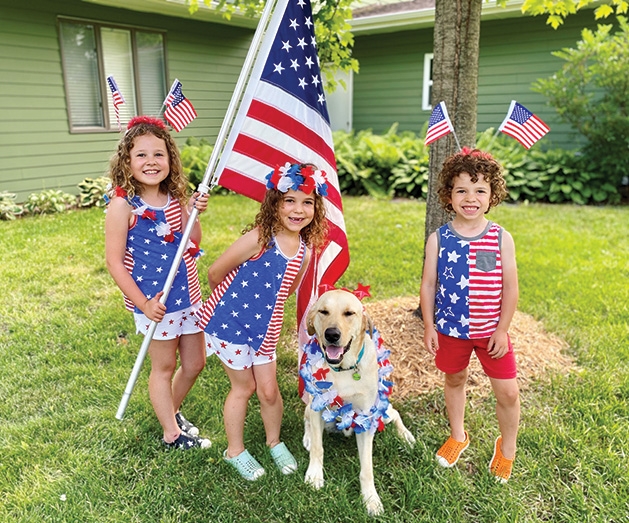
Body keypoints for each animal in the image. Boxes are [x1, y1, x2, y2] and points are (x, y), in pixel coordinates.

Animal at [300, 290, 418, 516]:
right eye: (323, 311)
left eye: (349, 313)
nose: (332, 334)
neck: (343, 369)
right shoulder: (318, 408)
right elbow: (319, 449)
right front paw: (315, 475)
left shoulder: (366, 417)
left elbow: (367, 469)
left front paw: (371, 499)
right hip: (312, 408)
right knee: (307, 421)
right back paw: (308, 437)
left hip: (381, 412)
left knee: (395, 413)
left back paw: (406, 436)